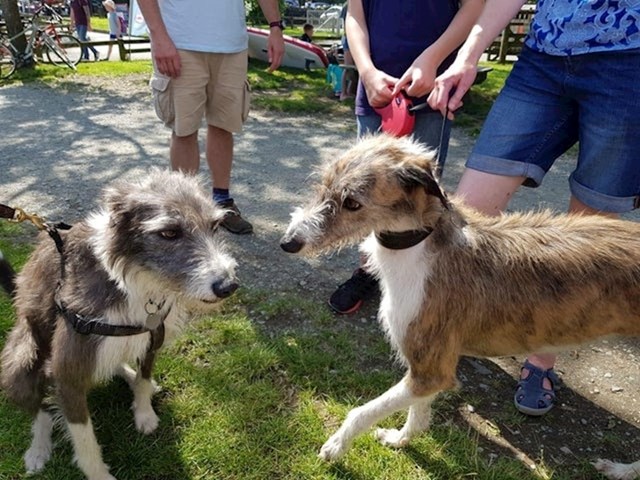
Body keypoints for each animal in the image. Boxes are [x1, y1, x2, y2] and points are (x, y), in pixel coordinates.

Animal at [0, 170, 238, 480]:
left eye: (215, 225)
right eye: (169, 232)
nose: (228, 286)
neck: (132, 279)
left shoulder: (152, 338)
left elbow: (144, 379)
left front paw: (144, 413)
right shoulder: (67, 373)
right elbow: (84, 437)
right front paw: (98, 473)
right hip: (22, 360)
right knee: (41, 413)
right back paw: (38, 450)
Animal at [282, 134, 640, 480]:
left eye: (353, 203)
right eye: (323, 185)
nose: (288, 243)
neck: (422, 245)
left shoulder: (432, 369)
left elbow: (361, 411)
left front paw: (335, 445)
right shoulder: (426, 368)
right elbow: (418, 416)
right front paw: (400, 439)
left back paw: (622, 470)